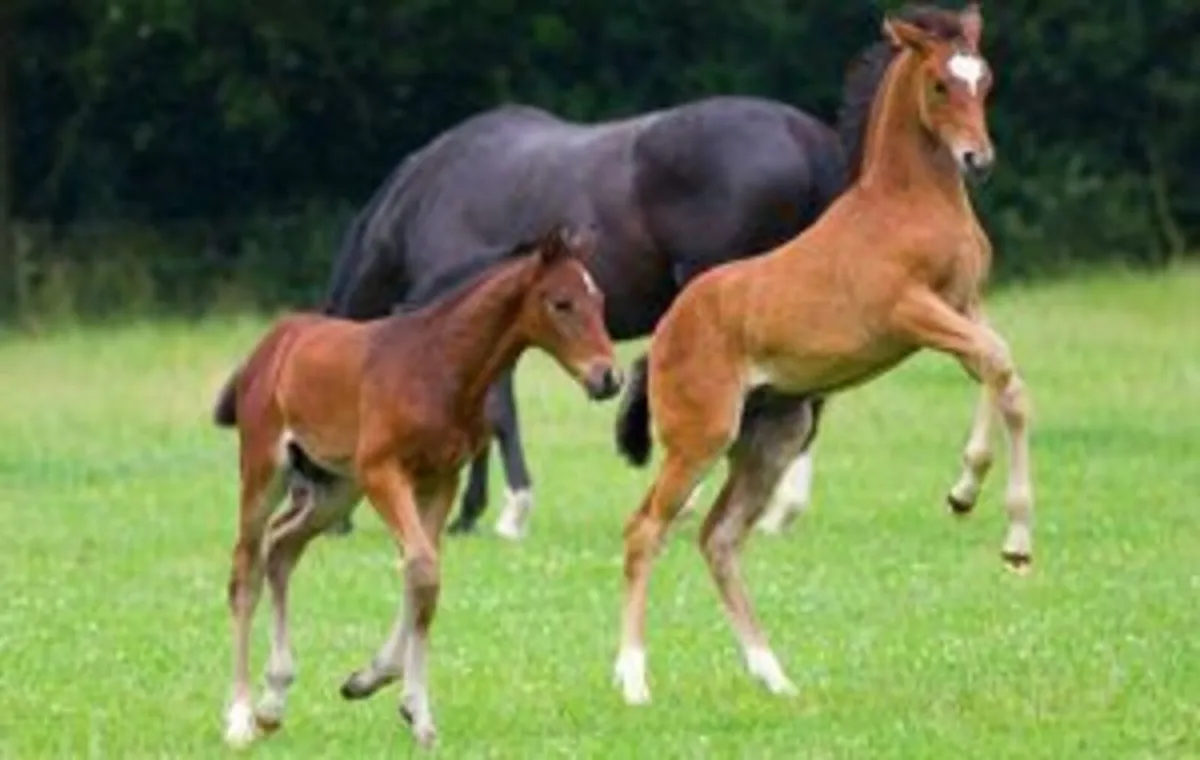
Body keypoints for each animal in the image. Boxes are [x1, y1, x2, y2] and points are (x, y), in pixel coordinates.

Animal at [211, 226, 620, 749]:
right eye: (561, 303)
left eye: (600, 299)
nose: (608, 377)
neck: (441, 365)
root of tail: (271, 344)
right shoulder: (384, 472)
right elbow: (422, 568)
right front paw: (417, 710)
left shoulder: (441, 478)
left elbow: (421, 570)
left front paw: (373, 681)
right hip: (267, 470)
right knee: (246, 569)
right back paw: (241, 715)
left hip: (336, 488)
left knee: (281, 548)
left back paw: (274, 699)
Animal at [321, 91, 850, 540]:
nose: (331, 523)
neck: (424, 200)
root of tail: (805, 137)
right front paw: (469, 512)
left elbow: (497, 412)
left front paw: (509, 513)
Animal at [610, 3, 1035, 706]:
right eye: (940, 84)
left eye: (985, 80)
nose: (979, 159)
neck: (909, 202)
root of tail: (665, 334)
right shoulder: (912, 314)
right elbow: (998, 363)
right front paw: (986, 507)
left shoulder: (964, 306)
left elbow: (1003, 375)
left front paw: (992, 517)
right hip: (699, 438)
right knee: (646, 530)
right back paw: (633, 679)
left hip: (773, 436)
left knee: (719, 537)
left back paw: (773, 675)